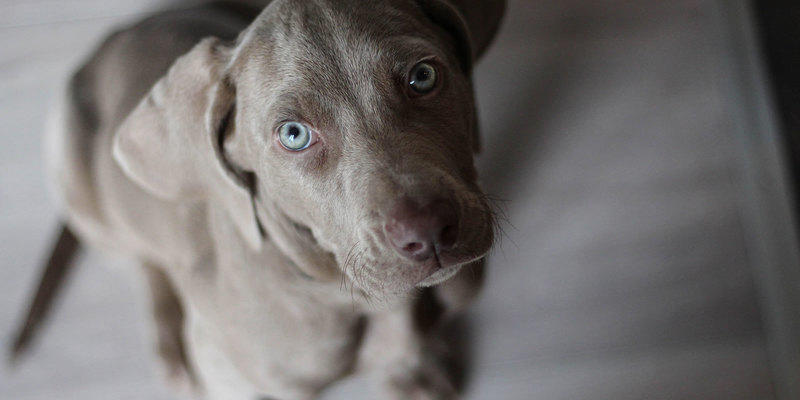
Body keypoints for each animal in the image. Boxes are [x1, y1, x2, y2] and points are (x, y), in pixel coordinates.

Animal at [9, 0, 504, 398]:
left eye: (423, 76)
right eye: (294, 135)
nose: (428, 231)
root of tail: (112, 38)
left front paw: (409, 374)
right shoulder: (230, 377)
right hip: (75, 178)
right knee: (143, 262)